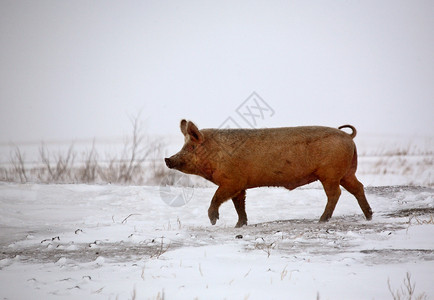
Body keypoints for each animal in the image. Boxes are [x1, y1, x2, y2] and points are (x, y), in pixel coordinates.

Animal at [164, 119, 372, 227]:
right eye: (183, 145)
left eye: (190, 146)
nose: (167, 159)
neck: (215, 154)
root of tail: (348, 136)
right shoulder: (240, 185)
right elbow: (239, 205)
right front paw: (240, 225)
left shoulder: (232, 181)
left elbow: (217, 197)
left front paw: (213, 221)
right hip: (347, 173)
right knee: (358, 188)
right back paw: (369, 216)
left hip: (330, 173)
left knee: (335, 193)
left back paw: (321, 220)